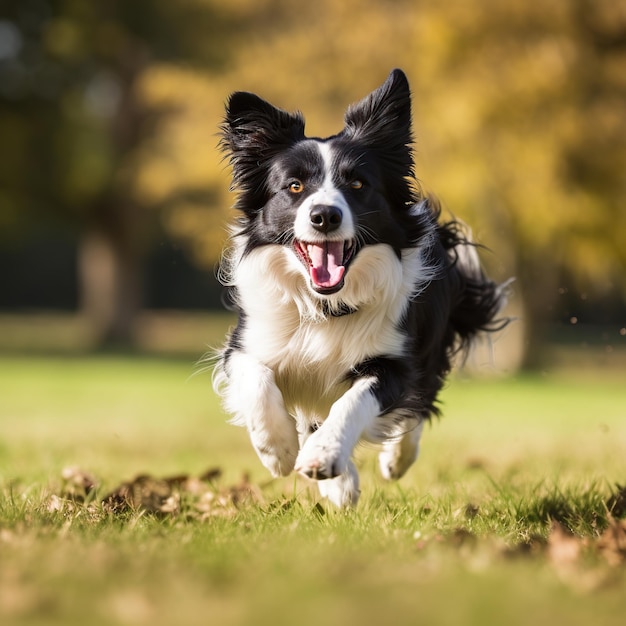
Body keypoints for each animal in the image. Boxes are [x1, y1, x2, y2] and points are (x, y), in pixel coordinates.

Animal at [212, 69, 504, 508]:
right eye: (294, 187)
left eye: (357, 183)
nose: (324, 215)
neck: (324, 307)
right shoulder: (246, 344)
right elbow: (257, 378)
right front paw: (278, 450)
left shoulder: (393, 359)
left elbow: (356, 401)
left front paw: (325, 457)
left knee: (419, 401)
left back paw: (393, 459)